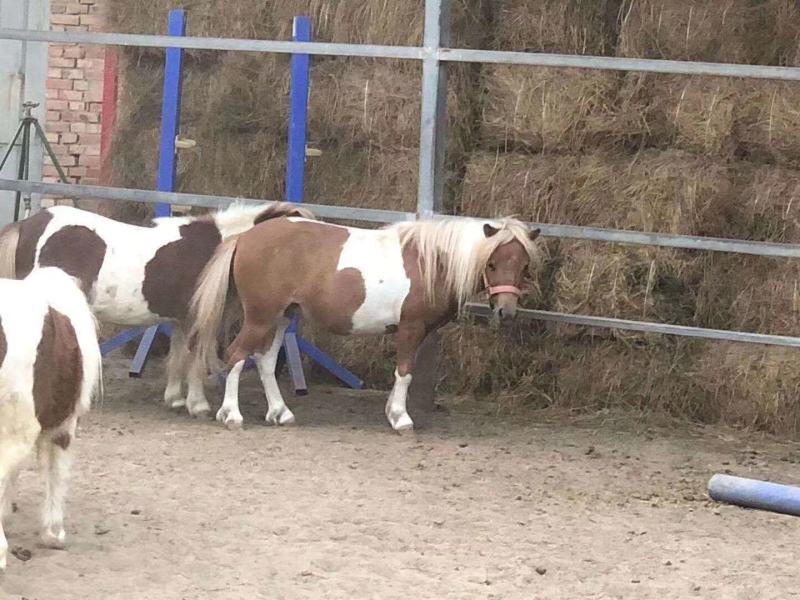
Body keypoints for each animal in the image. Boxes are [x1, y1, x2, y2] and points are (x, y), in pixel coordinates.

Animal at [0, 202, 312, 417]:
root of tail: (28, 224)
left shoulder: (181, 320)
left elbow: (178, 355)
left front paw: (175, 398)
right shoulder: (197, 318)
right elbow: (194, 358)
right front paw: (198, 404)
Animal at [189, 215, 541, 431]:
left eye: (524, 265)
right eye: (492, 263)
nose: (506, 312)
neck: (431, 262)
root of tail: (245, 237)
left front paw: (392, 412)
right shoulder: (411, 328)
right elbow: (404, 372)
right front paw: (400, 418)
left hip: (281, 317)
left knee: (264, 362)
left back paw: (281, 413)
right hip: (261, 317)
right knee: (236, 356)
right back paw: (232, 415)